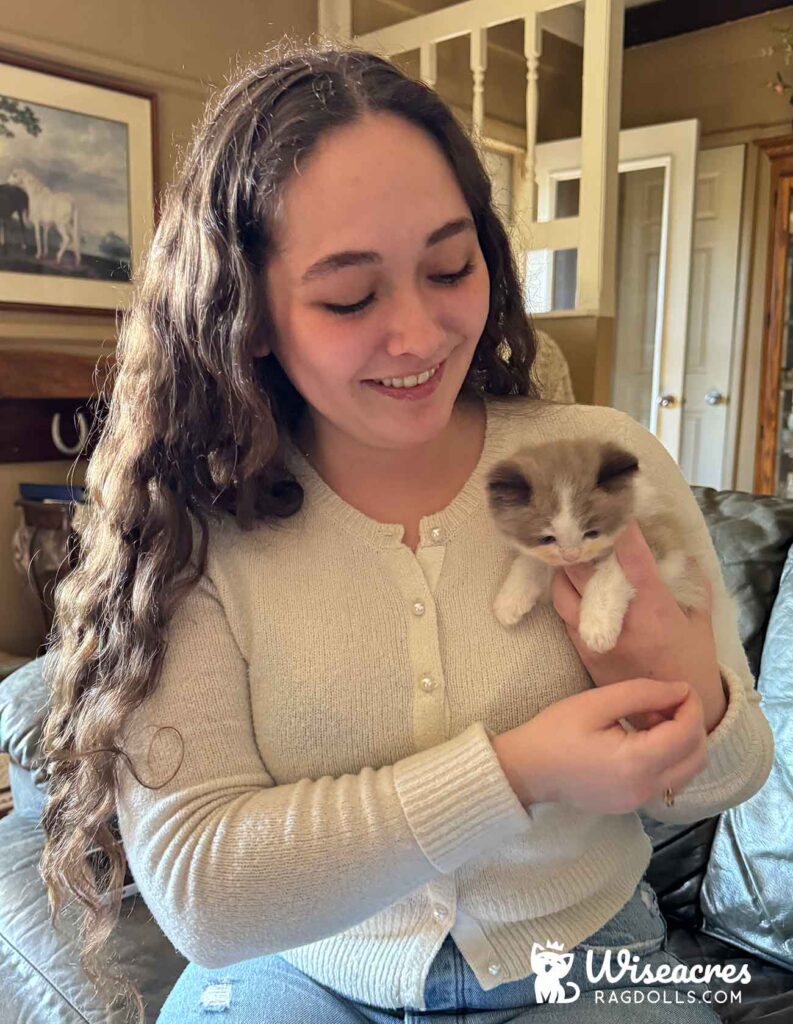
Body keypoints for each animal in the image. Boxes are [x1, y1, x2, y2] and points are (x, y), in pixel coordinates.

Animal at [487, 436, 713, 651]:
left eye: (592, 533)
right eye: (547, 538)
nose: (571, 555)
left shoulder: (658, 542)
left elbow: (607, 578)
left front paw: (598, 627)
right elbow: (530, 562)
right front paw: (509, 601)